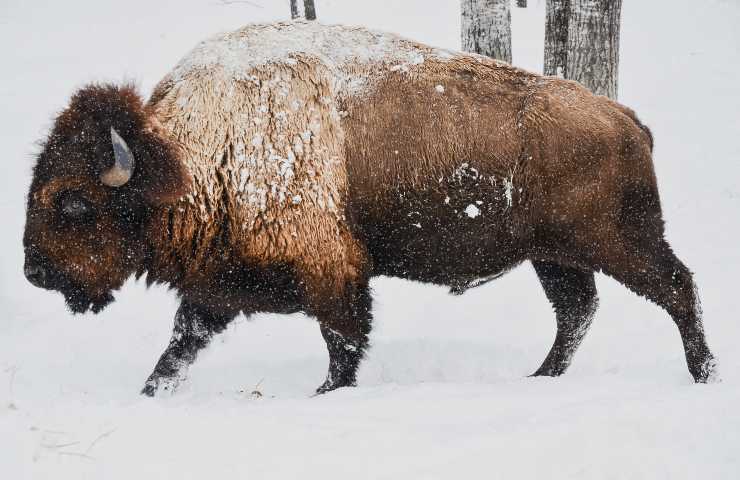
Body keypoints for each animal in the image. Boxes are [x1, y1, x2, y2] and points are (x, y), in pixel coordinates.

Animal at [21, 20, 716, 396]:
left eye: (73, 201)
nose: (33, 272)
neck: (186, 154)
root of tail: (625, 119)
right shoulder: (217, 286)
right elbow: (178, 348)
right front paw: (149, 395)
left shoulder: (333, 275)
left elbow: (344, 344)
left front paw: (325, 394)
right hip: (554, 256)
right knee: (577, 311)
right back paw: (540, 377)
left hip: (621, 243)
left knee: (676, 288)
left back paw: (702, 374)